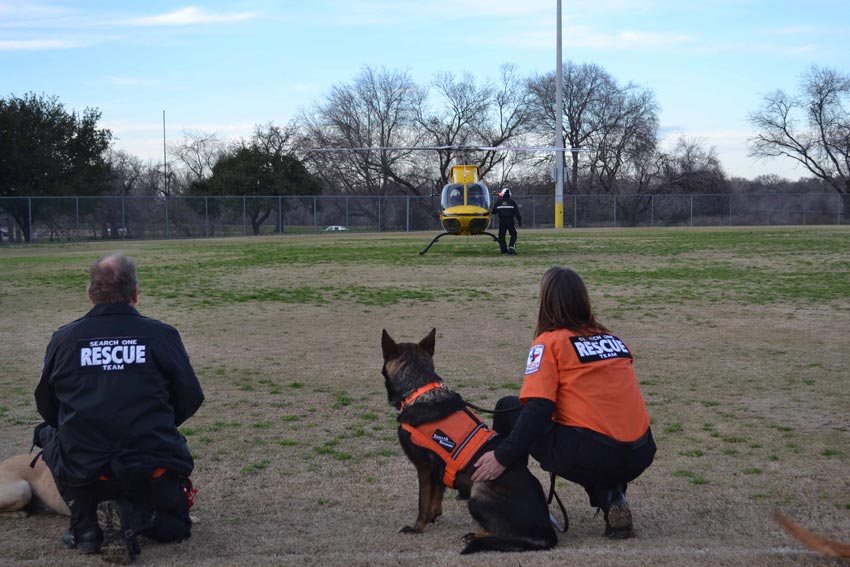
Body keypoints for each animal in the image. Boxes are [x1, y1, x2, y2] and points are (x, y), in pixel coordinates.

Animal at [380, 328, 556, 556]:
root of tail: (547, 531)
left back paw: (476, 536)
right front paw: (434, 516)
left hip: (478, 490)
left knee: (502, 533)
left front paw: (417, 527)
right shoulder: (437, 470)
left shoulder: (424, 468)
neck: (419, 389)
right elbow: (436, 497)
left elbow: (422, 501)